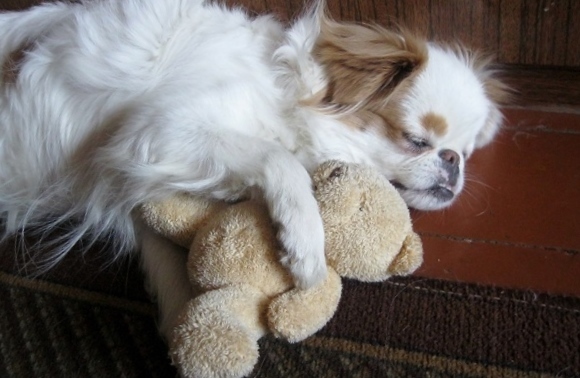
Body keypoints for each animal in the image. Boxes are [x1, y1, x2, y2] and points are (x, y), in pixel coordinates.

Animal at [0, 0, 508, 340]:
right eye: (417, 140)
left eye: (466, 152)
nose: (452, 162)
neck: (286, 93)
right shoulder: (158, 131)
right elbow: (279, 159)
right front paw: (304, 243)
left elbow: (165, 264)